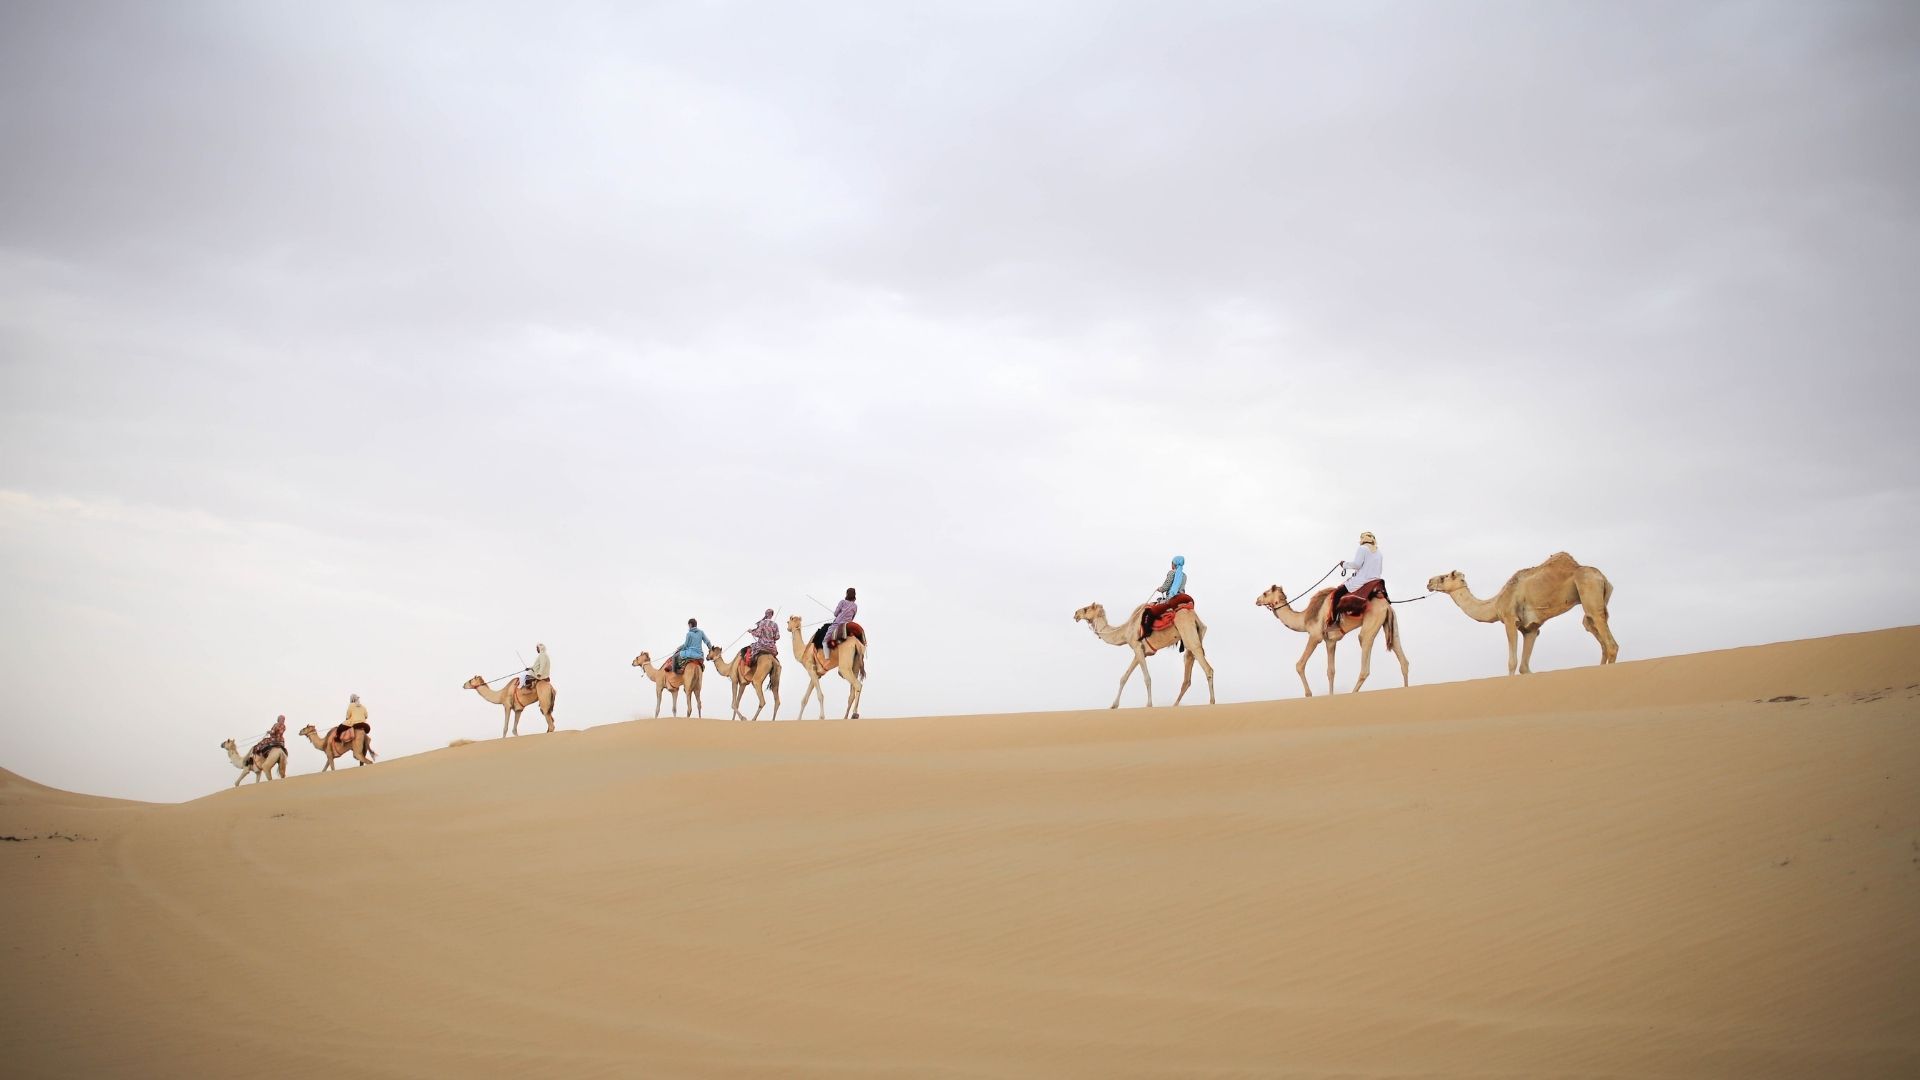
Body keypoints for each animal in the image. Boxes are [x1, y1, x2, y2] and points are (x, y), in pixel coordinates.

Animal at [1067, 595, 1213, 707]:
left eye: (1086, 609)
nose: (1075, 614)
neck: (1126, 630)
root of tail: (1194, 616)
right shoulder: (1141, 652)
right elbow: (1124, 677)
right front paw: (1114, 705)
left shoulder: (1137, 647)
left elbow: (1147, 678)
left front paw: (1149, 704)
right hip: (1194, 637)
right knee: (1187, 677)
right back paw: (1175, 705)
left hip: (1188, 634)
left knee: (1207, 668)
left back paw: (1212, 702)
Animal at [1251, 584, 1405, 691]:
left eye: (1265, 593)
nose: (1257, 600)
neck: (1304, 618)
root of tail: (1386, 605)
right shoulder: (1330, 641)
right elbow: (1331, 671)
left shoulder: (1315, 636)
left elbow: (1299, 665)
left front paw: (1309, 695)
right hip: (1391, 625)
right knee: (1404, 661)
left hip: (1370, 625)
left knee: (1364, 665)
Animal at [1428, 545, 1620, 672]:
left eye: (1444, 577)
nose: (1429, 582)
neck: (1496, 602)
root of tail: (1603, 577)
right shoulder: (1531, 629)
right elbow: (1524, 667)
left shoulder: (1509, 620)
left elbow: (1512, 663)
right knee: (1595, 631)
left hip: (1589, 588)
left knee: (1610, 643)